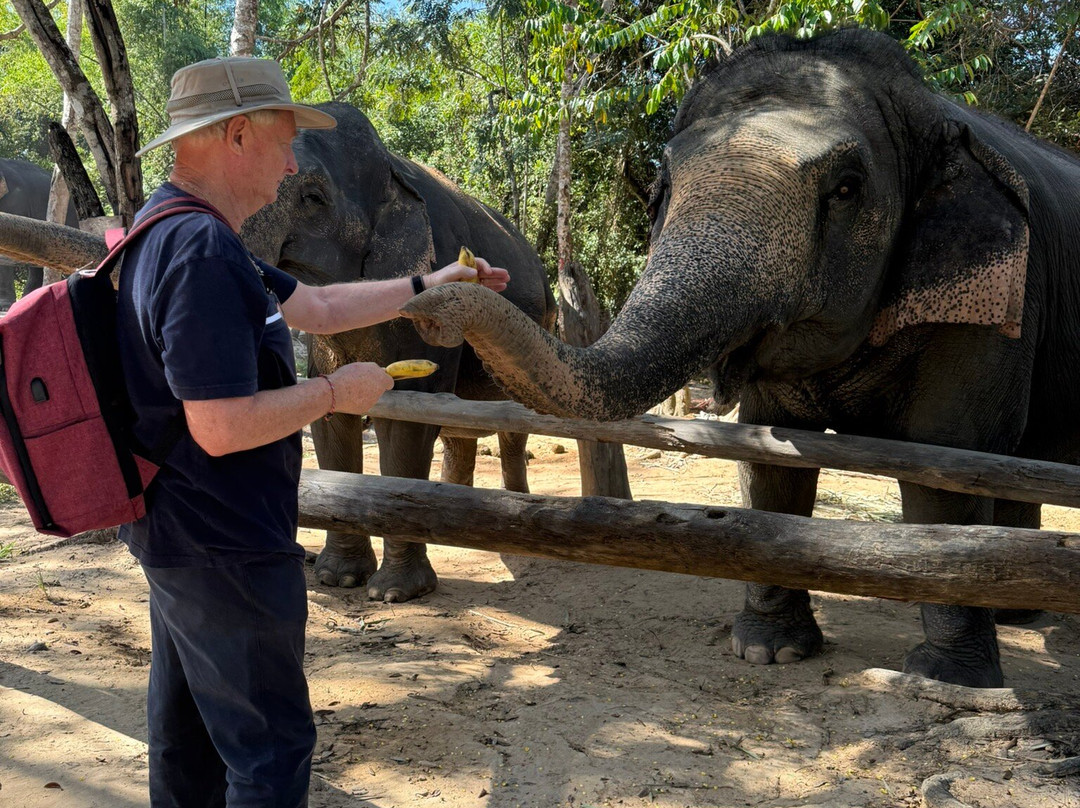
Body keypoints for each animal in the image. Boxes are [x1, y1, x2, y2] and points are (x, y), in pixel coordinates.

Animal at [242, 102, 556, 602]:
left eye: (312, 197)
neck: (391, 167)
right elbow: (332, 416)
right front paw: (338, 578)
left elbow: (408, 421)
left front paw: (394, 592)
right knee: (460, 430)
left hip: (541, 325)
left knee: (511, 425)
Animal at [397, 29, 1080, 687]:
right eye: (661, 190)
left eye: (847, 189)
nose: (432, 302)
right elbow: (772, 457)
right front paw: (768, 651)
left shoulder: (993, 302)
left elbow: (947, 463)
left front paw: (948, 678)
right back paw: (1018, 614)